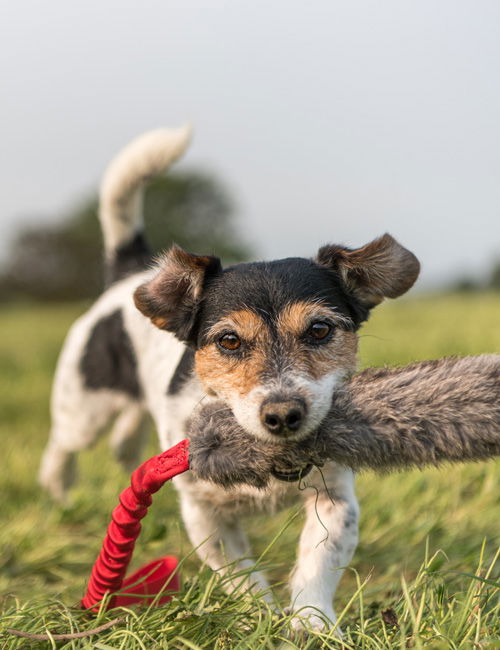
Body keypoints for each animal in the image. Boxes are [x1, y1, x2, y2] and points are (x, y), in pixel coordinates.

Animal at [39, 124, 420, 632]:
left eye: (320, 330)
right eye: (229, 341)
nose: (283, 415)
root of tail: (126, 277)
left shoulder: (336, 498)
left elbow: (317, 564)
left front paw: (312, 624)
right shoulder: (205, 514)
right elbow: (241, 576)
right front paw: (260, 617)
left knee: (123, 437)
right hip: (83, 409)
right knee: (62, 446)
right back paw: (58, 490)